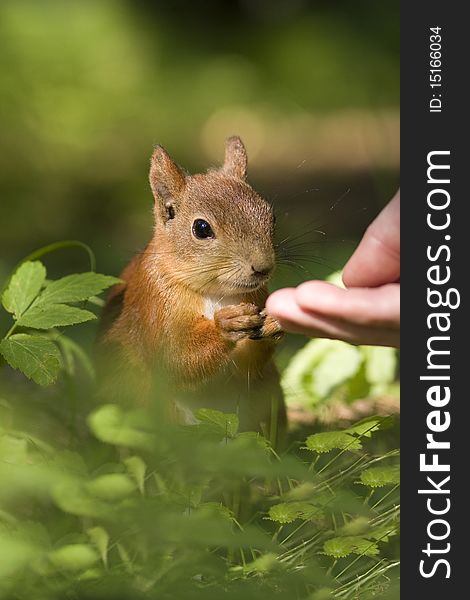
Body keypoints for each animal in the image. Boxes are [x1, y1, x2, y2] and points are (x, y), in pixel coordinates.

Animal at [97, 138, 284, 440]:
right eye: (201, 228)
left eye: (272, 216)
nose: (263, 267)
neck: (217, 293)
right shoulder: (155, 301)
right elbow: (172, 358)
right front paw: (226, 324)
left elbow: (247, 368)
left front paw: (274, 321)